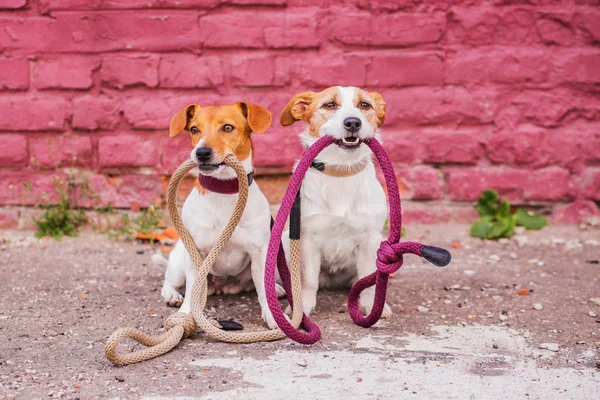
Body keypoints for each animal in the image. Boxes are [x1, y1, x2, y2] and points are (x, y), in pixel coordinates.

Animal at [159, 101, 282, 330]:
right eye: (194, 130)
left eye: (227, 127)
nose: (201, 152)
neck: (223, 191)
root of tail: (221, 287)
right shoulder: (195, 254)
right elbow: (192, 288)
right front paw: (185, 315)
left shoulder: (260, 253)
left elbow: (263, 289)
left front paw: (273, 316)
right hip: (179, 260)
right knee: (169, 282)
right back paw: (172, 295)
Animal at [278, 86, 392, 318]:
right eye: (330, 105)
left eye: (365, 105)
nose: (353, 122)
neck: (341, 172)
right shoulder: (308, 240)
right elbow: (309, 281)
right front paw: (304, 307)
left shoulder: (370, 240)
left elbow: (367, 279)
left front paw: (371, 305)